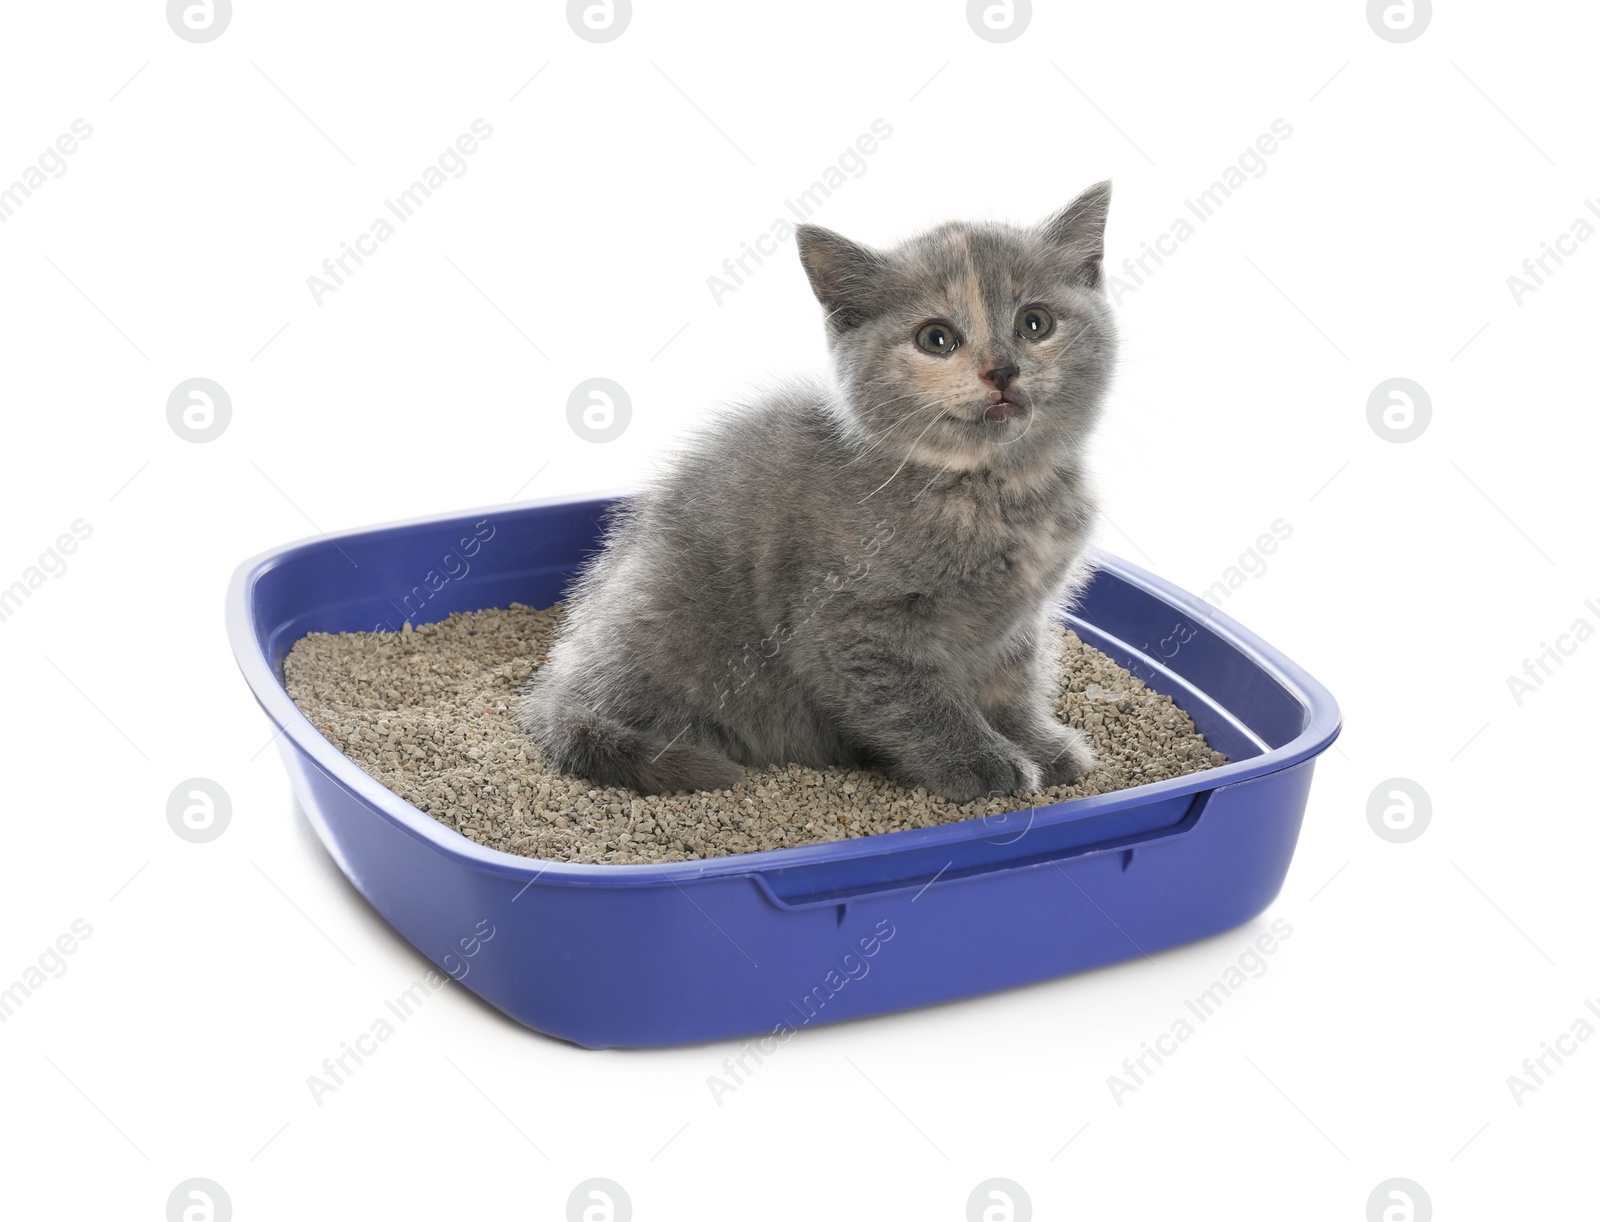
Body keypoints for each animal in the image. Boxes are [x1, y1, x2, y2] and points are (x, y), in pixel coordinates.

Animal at [518, 181, 1120, 806]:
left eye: (1035, 323)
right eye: (936, 339)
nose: (1000, 370)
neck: (998, 488)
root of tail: (556, 689)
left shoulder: (1020, 620)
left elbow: (1014, 684)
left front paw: (1041, 744)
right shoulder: (845, 625)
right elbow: (920, 703)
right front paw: (982, 764)